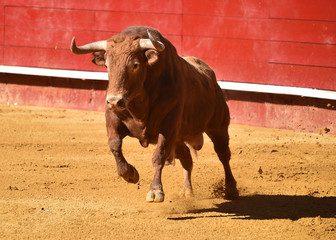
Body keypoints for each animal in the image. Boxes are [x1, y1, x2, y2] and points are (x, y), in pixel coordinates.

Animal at [70, 26, 239, 202]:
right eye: (107, 66)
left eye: (135, 65)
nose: (114, 101)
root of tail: (211, 76)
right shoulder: (114, 118)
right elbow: (114, 145)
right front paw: (130, 174)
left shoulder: (168, 126)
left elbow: (159, 155)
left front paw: (155, 190)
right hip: (179, 139)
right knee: (187, 157)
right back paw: (187, 190)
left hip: (218, 127)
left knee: (223, 154)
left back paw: (231, 189)